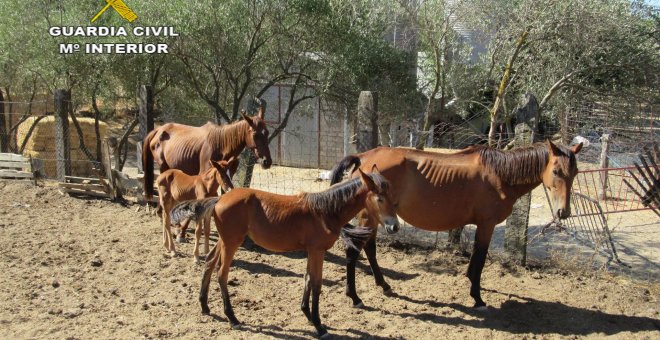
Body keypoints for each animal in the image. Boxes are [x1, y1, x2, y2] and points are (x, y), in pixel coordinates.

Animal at [330, 139, 584, 310]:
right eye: (556, 171)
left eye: (575, 172)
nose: (563, 212)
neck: (499, 174)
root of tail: (363, 158)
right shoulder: (487, 224)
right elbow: (480, 259)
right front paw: (478, 297)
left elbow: (475, 259)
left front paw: (471, 283)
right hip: (368, 217)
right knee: (354, 251)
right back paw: (355, 297)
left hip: (375, 218)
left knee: (370, 249)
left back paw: (383, 285)